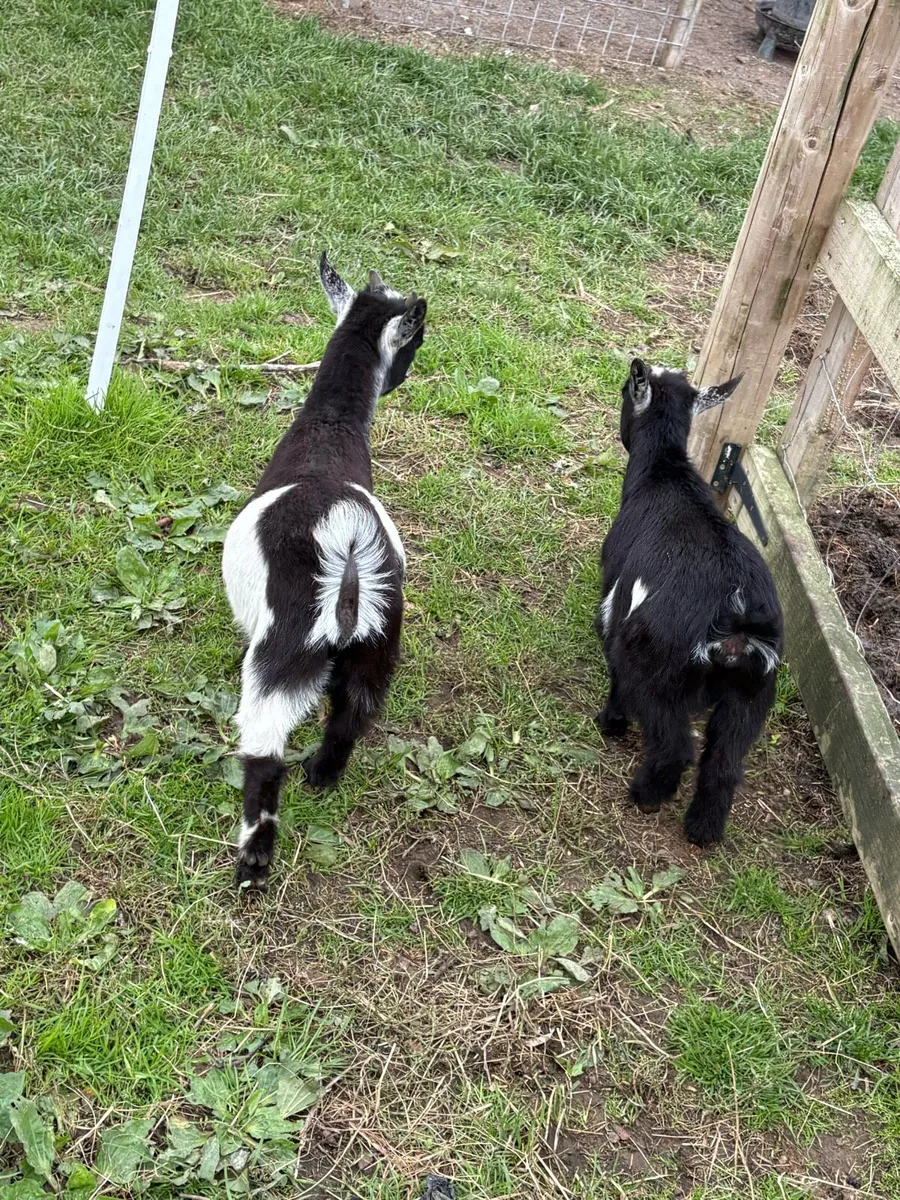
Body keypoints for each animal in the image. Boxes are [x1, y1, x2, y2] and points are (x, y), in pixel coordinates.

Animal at [222, 254, 427, 889]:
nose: (401, 378)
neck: (327, 440)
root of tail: (348, 543)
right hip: (381, 636)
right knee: (355, 711)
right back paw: (323, 773)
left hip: (284, 651)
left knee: (264, 749)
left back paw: (254, 859)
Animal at [595, 359, 783, 846]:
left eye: (623, 392)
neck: (664, 473)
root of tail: (736, 620)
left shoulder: (615, 597)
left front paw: (612, 721)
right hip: (752, 693)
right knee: (723, 764)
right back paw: (702, 830)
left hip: (656, 667)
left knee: (676, 745)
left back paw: (646, 794)